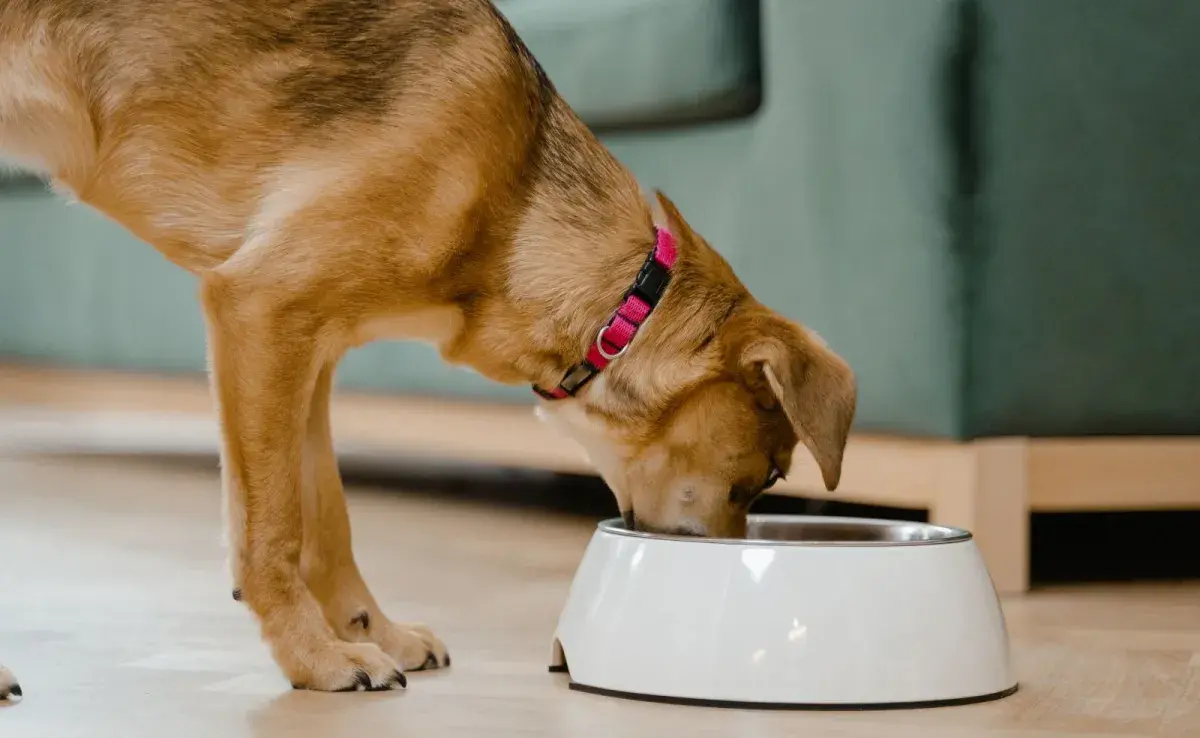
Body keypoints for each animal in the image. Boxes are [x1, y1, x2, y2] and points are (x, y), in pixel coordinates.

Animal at [2, 0, 864, 691]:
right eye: (765, 478)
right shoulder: (259, 309)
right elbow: (273, 529)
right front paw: (316, 661)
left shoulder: (308, 351)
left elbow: (327, 519)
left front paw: (369, 632)